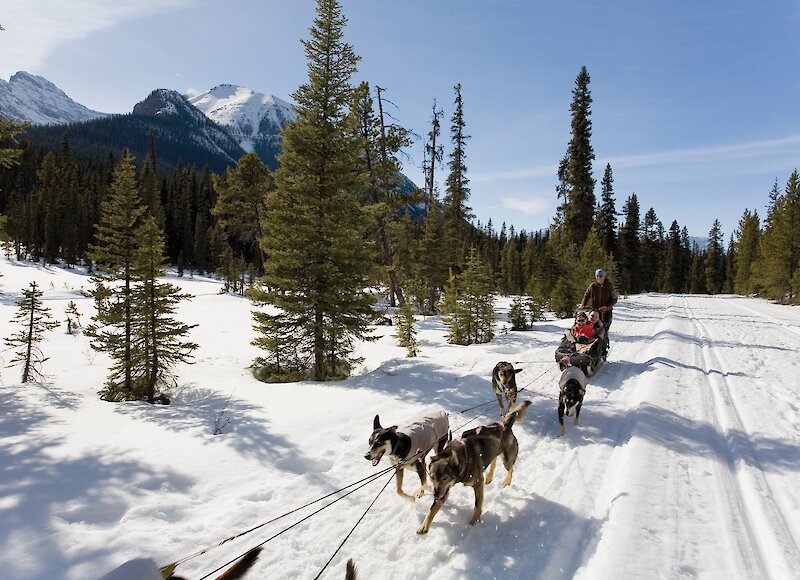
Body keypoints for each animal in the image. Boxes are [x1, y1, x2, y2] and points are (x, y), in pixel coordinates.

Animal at [412, 402, 532, 532]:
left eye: (444, 478)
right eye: (432, 477)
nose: (435, 494)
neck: (464, 457)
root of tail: (504, 425)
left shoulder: (478, 482)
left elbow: (477, 505)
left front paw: (475, 520)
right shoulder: (444, 490)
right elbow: (432, 509)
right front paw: (424, 525)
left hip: (507, 460)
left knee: (510, 468)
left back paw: (507, 481)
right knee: (494, 461)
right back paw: (489, 476)